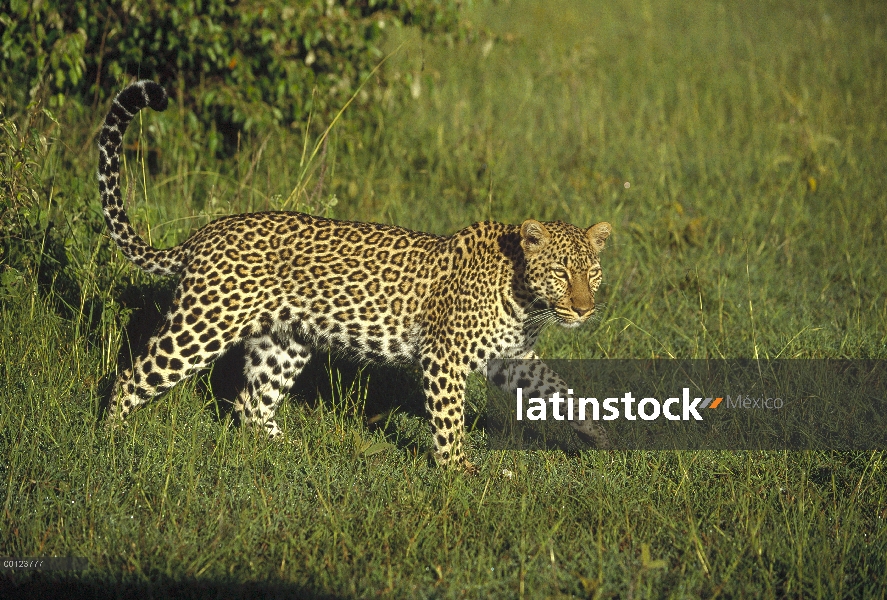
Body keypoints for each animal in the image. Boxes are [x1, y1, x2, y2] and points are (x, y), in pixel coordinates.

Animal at [97, 81, 612, 474]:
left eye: (592, 273)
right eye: (561, 272)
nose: (585, 310)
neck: (525, 300)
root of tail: (203, 233)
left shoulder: (514, 359)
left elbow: (559, 388)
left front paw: (600, 433)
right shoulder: (443, 358)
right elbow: (449, 421)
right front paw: (459, 472)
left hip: (283, 342)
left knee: (251, 404)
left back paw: (290, 449)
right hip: (202, 326)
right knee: (130, 379)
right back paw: (111, 441)